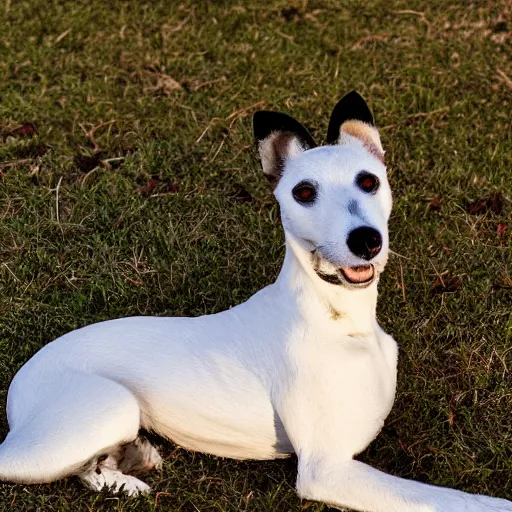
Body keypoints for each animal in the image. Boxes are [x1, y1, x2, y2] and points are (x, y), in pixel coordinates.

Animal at [1, 93, 512, 512]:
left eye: (369, 182)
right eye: (304, 192)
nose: (366, 240)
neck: (339, 318)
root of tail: (21, 383)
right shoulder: (327, 468)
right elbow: (456, 500)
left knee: (88, 469)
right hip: (107, 408)